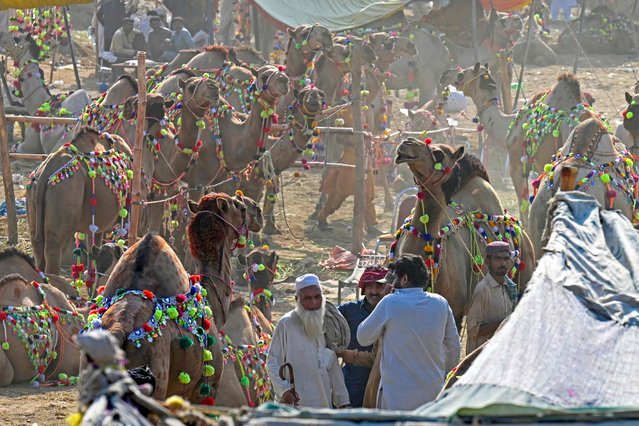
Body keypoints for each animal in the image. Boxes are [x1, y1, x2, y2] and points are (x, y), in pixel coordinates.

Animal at [25, 127, 133, 276]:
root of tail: (45, 171)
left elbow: (94, 248)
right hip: (65, 196)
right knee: (53, 250)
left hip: (33, 203)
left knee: (38, 248)